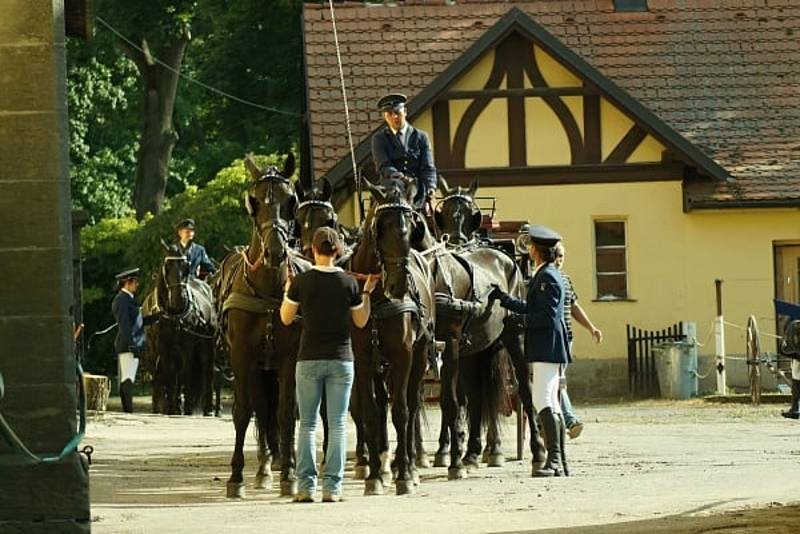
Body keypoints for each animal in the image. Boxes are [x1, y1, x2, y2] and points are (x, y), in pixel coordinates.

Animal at [146, 245, 216, 416]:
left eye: (186, 267)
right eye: (167, 267)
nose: (179, 299)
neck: (174, 314)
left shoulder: (187, 345)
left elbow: (186, 374)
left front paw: (187, 407)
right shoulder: (163, 346)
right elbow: (169, 374)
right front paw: (171, 407)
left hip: (207, 343)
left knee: (207, 369)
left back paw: (208, 408)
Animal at [217, 154, 310, 498]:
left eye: (291, 201)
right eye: (254, 202)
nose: (274, 252)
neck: (269, 293)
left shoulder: (288, 359)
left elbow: (285, 412)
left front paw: (290, 475)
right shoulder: (242, 358)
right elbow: (244, 412)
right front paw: (236, 477)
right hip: (258, 367)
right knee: (259, 406)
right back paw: (264, 468)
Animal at [434, 177, 548, 478]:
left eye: (471, 214)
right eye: (443, 215)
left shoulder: (448, 346)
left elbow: (454, 400)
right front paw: (454, 450)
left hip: (513, 337)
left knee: (524, 388)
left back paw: (535, 451)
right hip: (476, 348)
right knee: (477, 395)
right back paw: (474, 452)